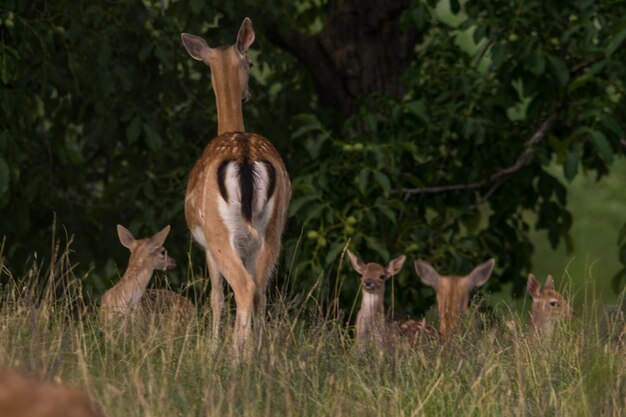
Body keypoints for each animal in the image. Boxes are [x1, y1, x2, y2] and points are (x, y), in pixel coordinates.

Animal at [179, 19, 288, 352]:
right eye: (251, 63)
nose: (248, 94)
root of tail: (245, 156)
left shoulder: (205, 244)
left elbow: (215, 296)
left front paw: (212, 346)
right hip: (272, 232)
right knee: (260, 290)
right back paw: (259, 351)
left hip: (219, 231)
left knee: (243, 287)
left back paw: (237, 354)